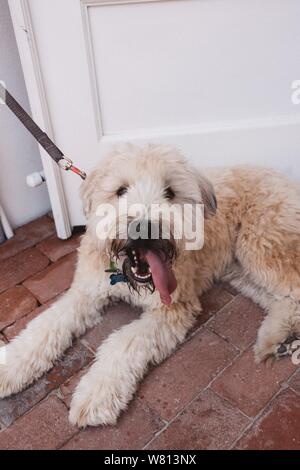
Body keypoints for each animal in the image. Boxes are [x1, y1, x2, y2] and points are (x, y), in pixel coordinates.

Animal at [0, 143, 300, 426]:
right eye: (121, 190)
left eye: (170, 192)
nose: (144, 228)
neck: (126, 276)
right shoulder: (85, 291)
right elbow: (45, 326)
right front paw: (10, 364)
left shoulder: (172, 308)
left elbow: (122, 342)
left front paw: (98, 392)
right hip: (240, 267)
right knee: (282, 299)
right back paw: (277, 339)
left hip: (262, 247)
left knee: (292, 290)